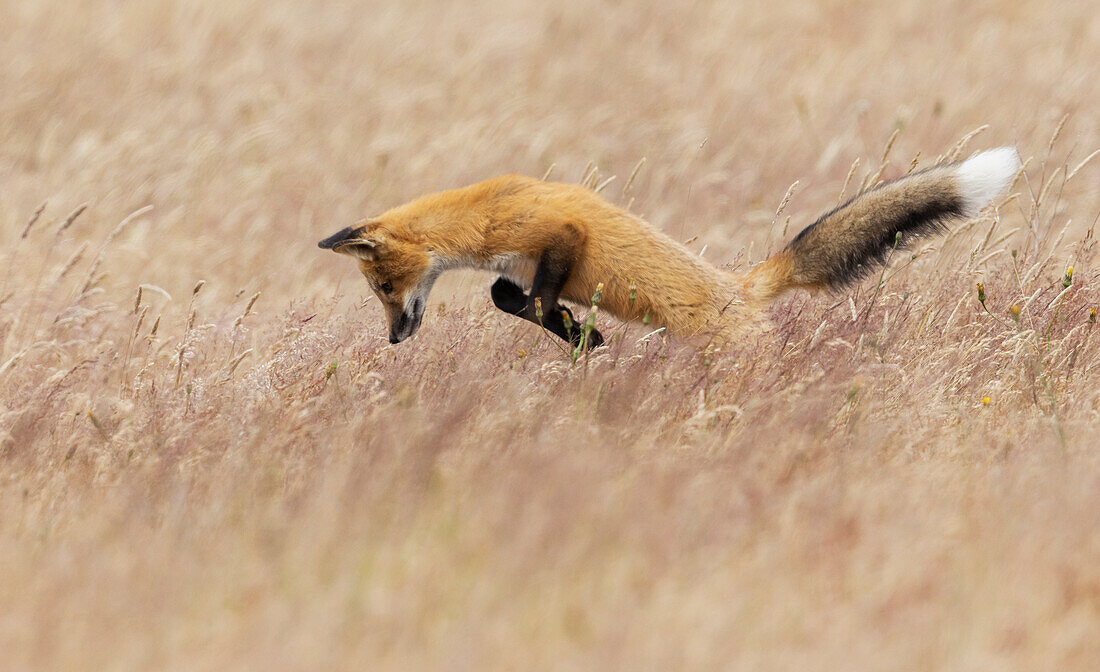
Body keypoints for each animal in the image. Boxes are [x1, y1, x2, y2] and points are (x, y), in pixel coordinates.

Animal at [319, 146, 1020, 347]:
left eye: (385, 289)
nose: (394, 340)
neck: (481, 220)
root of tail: (745, 288)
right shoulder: (519, 263)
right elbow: (506, 296)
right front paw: (580, 333)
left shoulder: (555, 233)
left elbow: (530, 299)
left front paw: (578, 334)